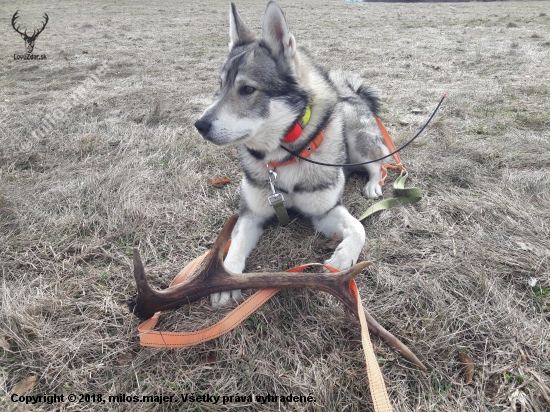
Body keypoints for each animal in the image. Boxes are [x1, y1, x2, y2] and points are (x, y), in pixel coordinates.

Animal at [196, 1, 390, 306]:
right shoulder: (251, 213)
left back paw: (373, 185)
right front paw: (226, 277)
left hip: (358, 142)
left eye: (248, 89)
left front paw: (341, 260)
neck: (283, 159)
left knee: (379, 164)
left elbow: (359, 229)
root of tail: (352, 94)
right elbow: (236, 243)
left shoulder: (324, 210)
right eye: (220, 86)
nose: (199, 125)